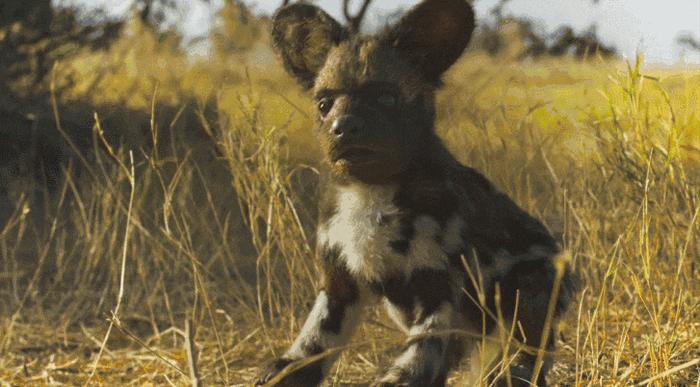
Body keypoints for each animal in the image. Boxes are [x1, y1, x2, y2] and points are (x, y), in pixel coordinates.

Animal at [254, 1, 572, 386]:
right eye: (324, 104)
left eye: (387, 97)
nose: (344, 127)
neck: (370, 192)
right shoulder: (338, 287)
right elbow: (314, 340)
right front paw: (287, 369)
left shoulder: (437, 289)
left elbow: (422, 350)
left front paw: (398, 377)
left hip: (529, 285)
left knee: (525, 354)